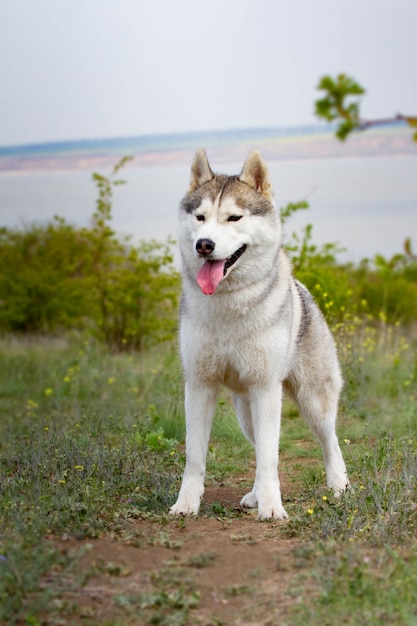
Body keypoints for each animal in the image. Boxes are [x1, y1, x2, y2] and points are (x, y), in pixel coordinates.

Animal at [169, 147, 348, 516]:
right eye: (200, 218)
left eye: (234, 218)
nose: (204, 245)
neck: (228, 305)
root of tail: (302, 291)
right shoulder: (199, 385)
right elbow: (195, 456)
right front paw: (187, 503)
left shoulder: (266, 388)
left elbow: (269, 457)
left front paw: (272, 508)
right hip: (246, 411)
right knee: (260, 445)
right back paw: (253, 495)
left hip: (312, 400)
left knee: (330, 439)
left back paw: (339, 484)